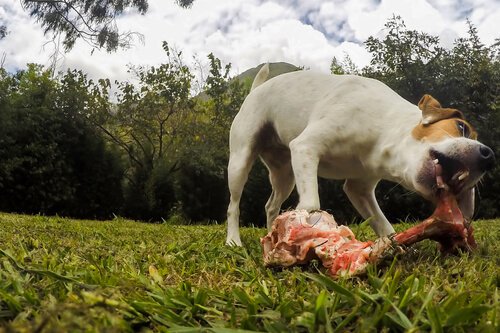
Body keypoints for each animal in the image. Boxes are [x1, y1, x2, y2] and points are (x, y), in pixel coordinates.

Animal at [226, 63, 492, 245]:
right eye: (462, 127)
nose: (489, 155)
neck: (382, 128)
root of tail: (256, 90)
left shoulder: (359, 188)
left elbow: (384, 225)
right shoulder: (305, 147)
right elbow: (311, 205)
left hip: (285, 176)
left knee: (271, 205)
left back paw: (272, 232)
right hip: (240, 160)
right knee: (233, 206)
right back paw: (233, 241)